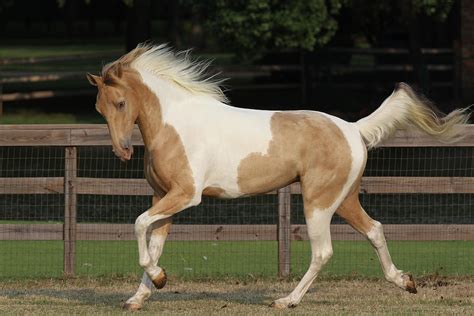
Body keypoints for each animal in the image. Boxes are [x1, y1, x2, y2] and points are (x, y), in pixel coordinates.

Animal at [87, 44, 468, 312]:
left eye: (121, 103)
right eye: (99, 108)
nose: (123, 151)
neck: (175, 124)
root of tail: (353, 128)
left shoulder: (185, 195)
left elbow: (139, 225)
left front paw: (159, 279)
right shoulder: (163, 196)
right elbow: (153, 242)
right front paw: (139, 297)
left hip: (318, 202)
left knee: (323, 251)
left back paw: (287, 300)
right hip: (344, 199)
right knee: (374, 229)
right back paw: (405, 281)